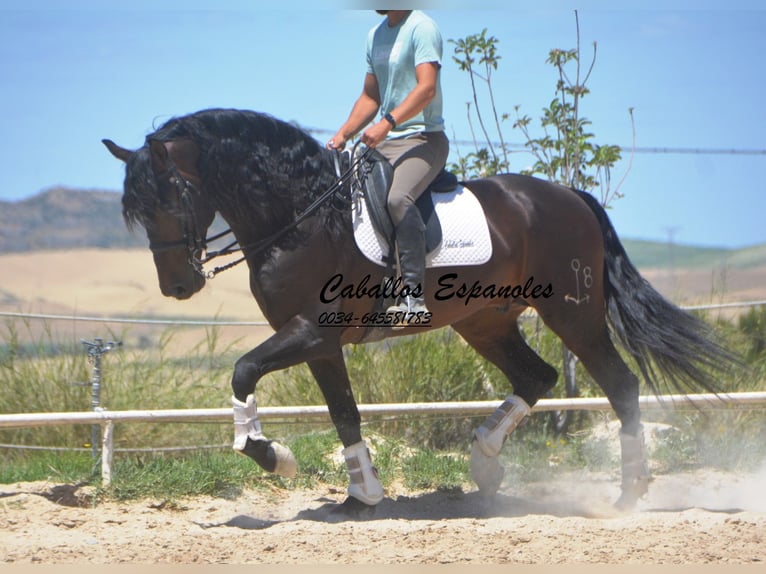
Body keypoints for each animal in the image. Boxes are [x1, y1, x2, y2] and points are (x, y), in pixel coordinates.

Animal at [103, 107, 736, 516]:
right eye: (134, 210)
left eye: (172, 196)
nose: (178, 286)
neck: (302, 216)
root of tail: (569, 196)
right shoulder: (320, 343)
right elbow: (345, 414)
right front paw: (362, 496)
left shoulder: (309, 331)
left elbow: (242, 371)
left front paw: (274, 457)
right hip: (486, 323)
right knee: (538, 376)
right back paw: (485, 466)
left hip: (571, 314)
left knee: (620, 384)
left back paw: (627, 494)